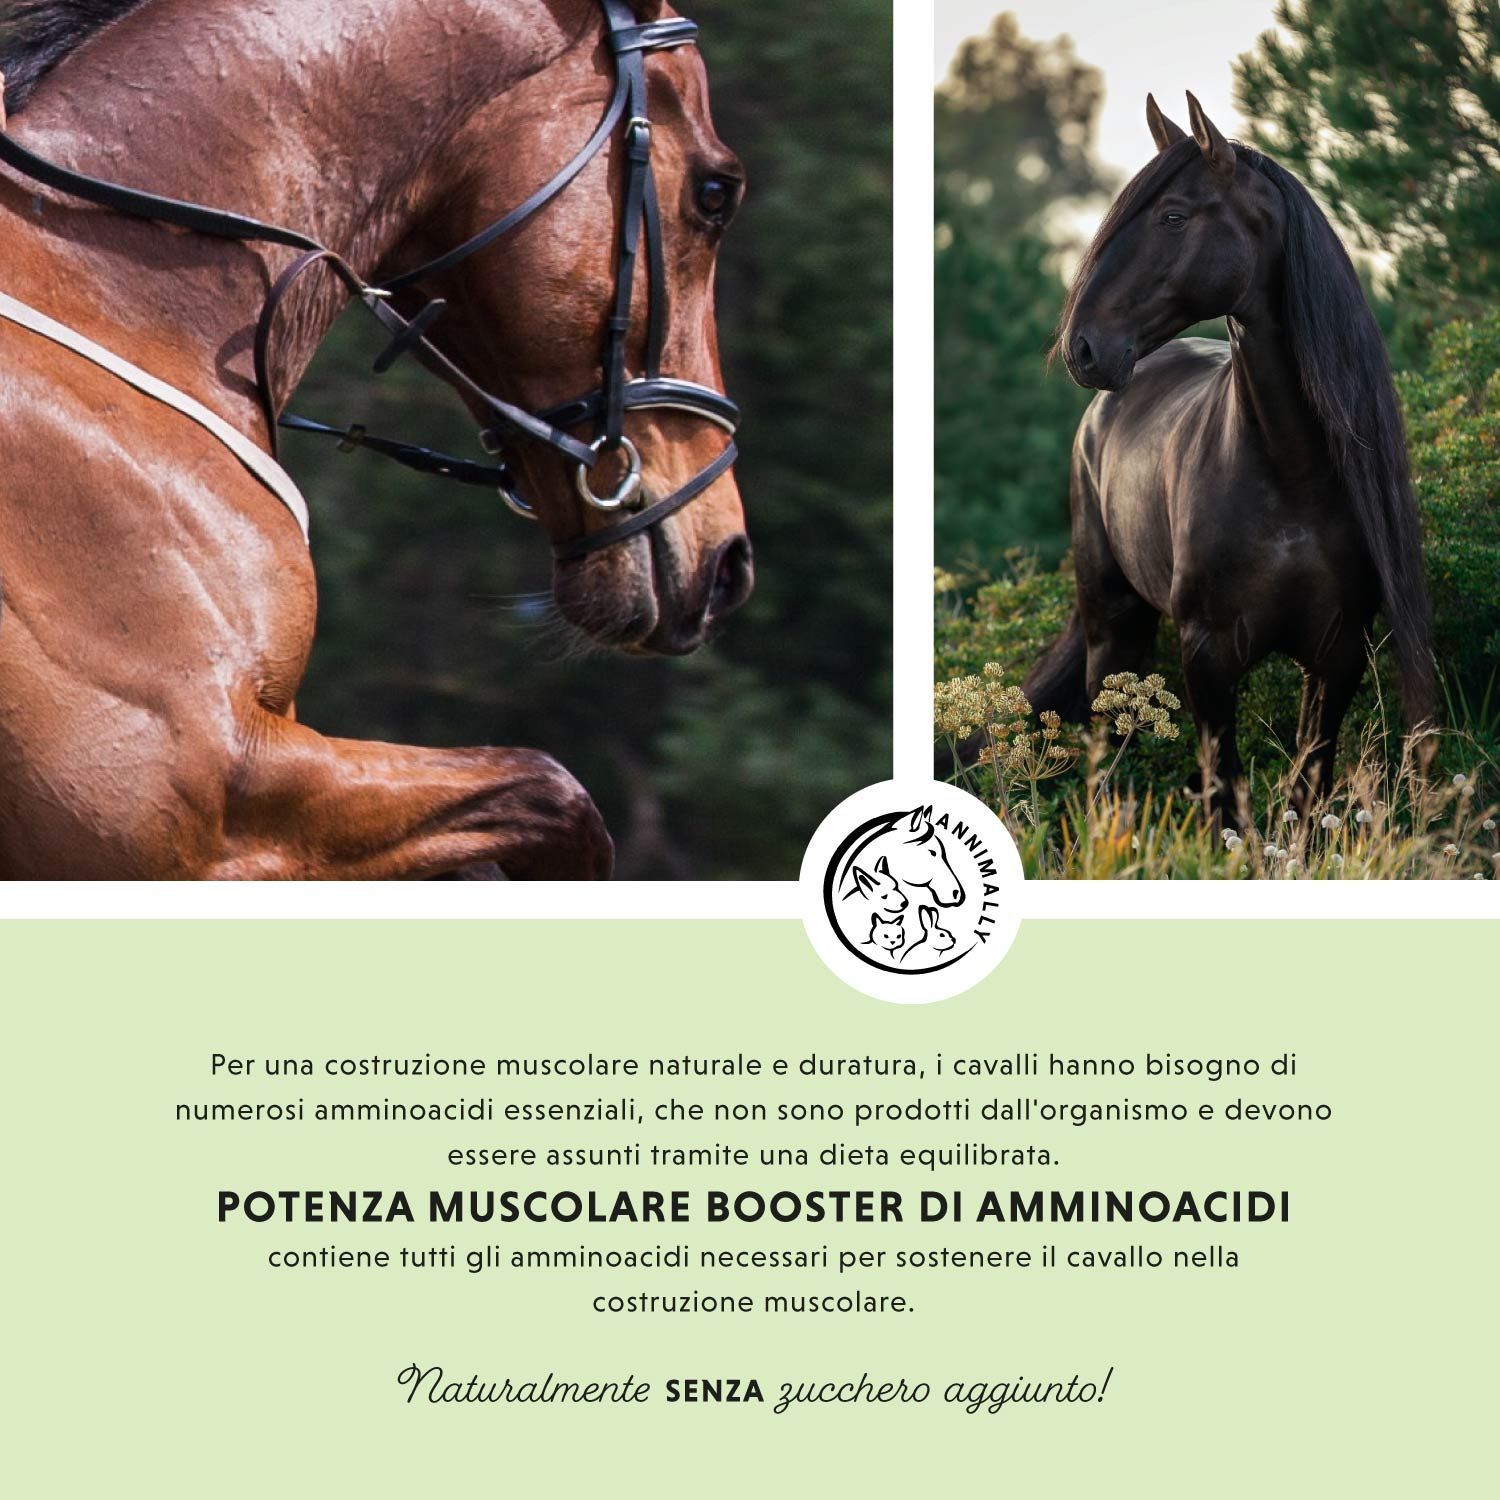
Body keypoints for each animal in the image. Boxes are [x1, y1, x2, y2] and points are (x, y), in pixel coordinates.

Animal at [1025, 92, 1434, 812]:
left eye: (1174, 215)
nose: (1083, 348)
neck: (1291, 475)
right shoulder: (1208, 655)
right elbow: (1224, 795)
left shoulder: (1337, 654)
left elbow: (1307, 788)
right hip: (1113, 626)